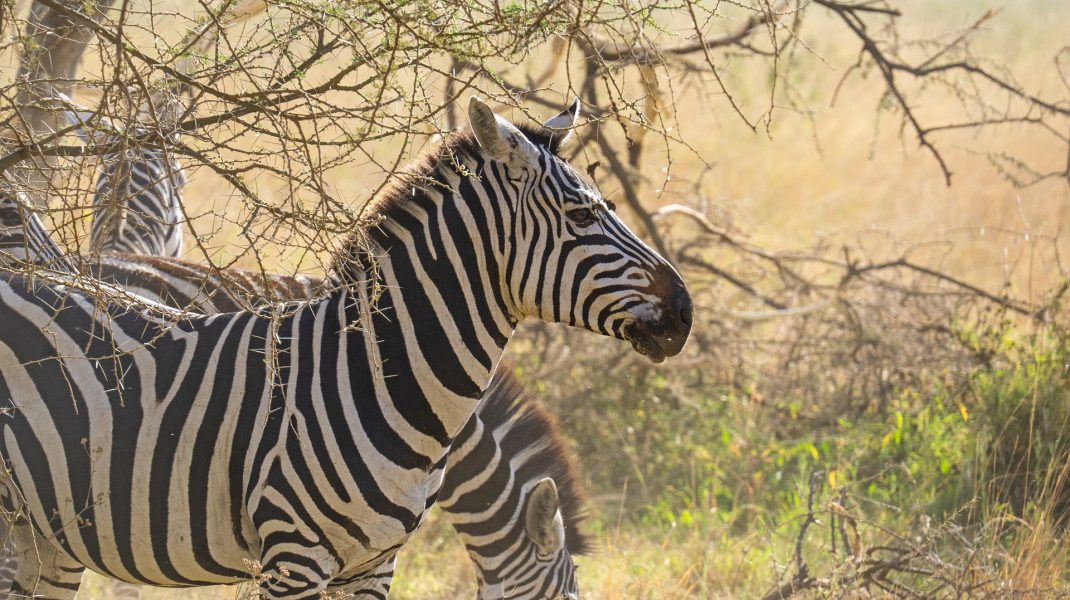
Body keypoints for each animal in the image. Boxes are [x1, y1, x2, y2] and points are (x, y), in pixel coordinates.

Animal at [0, 95, 693, 594]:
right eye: (582, 217)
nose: (685, 313)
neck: (378, 375)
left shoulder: (374, 563)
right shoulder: (291, 557)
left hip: (44, 534)